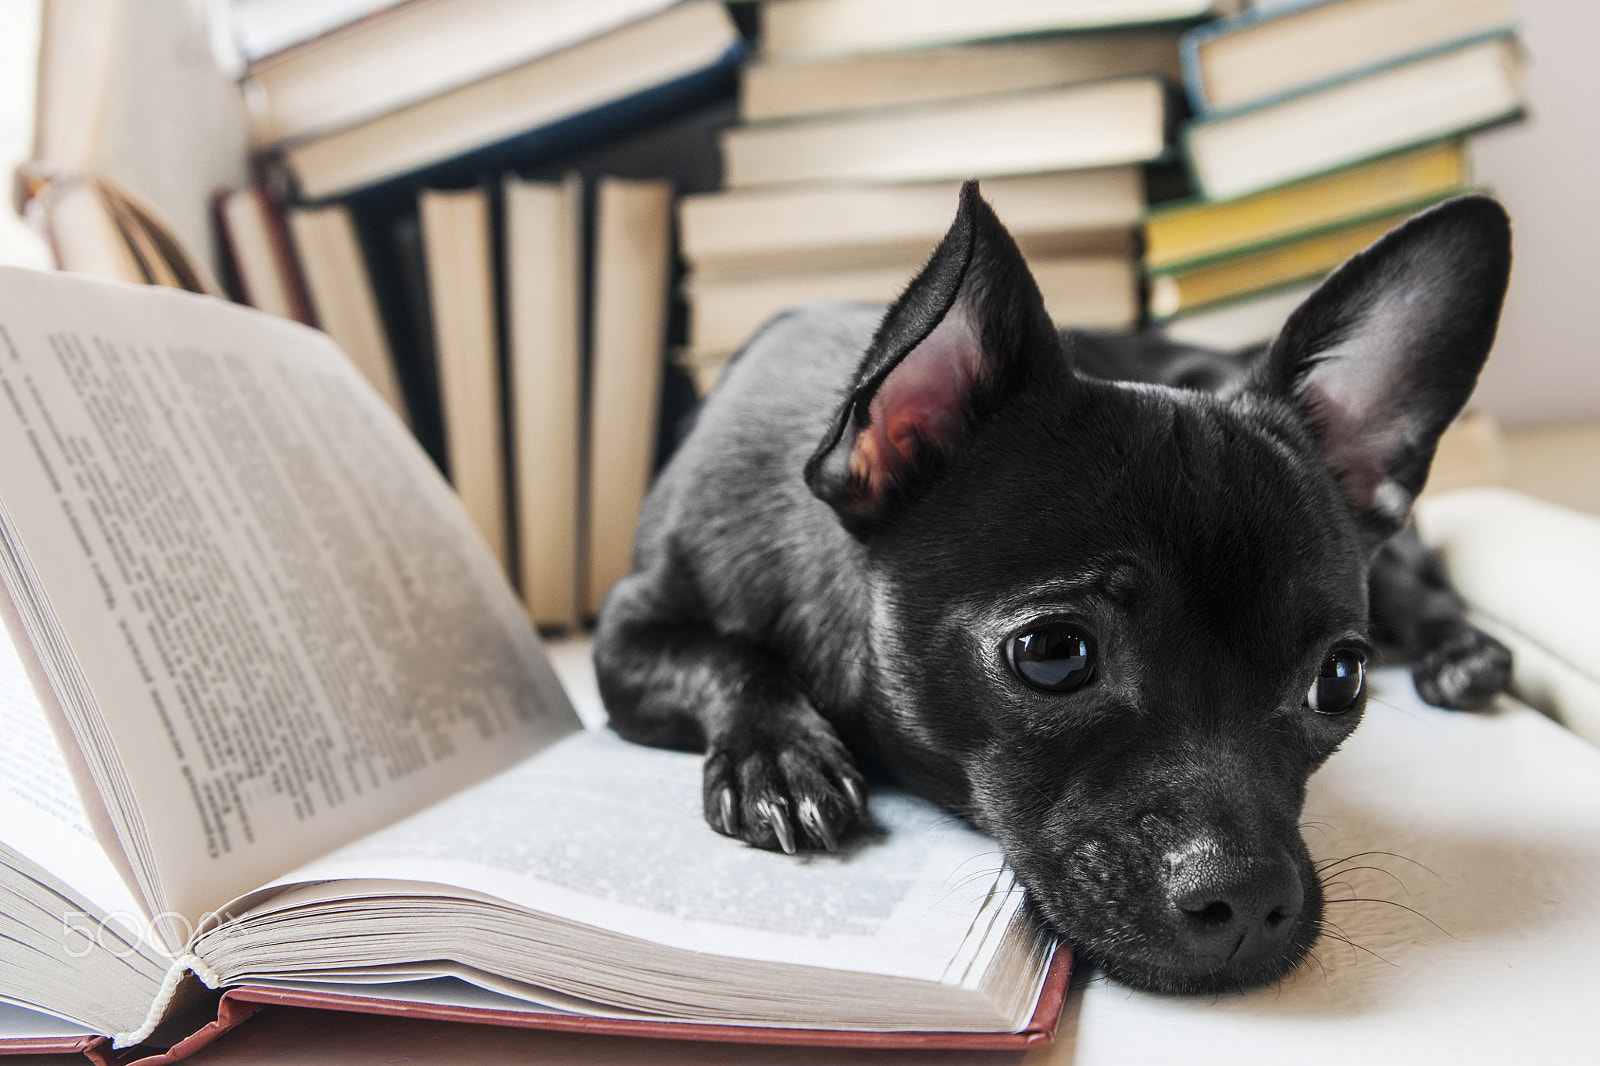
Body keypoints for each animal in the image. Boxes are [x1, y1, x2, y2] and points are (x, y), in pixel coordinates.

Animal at [592, 186, 1510, 992]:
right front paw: (778, 753)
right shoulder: (628, 632)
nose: (1249, 900)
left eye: (1339, 681)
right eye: (1053, 655)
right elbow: (726, 658)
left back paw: (1463, 655)